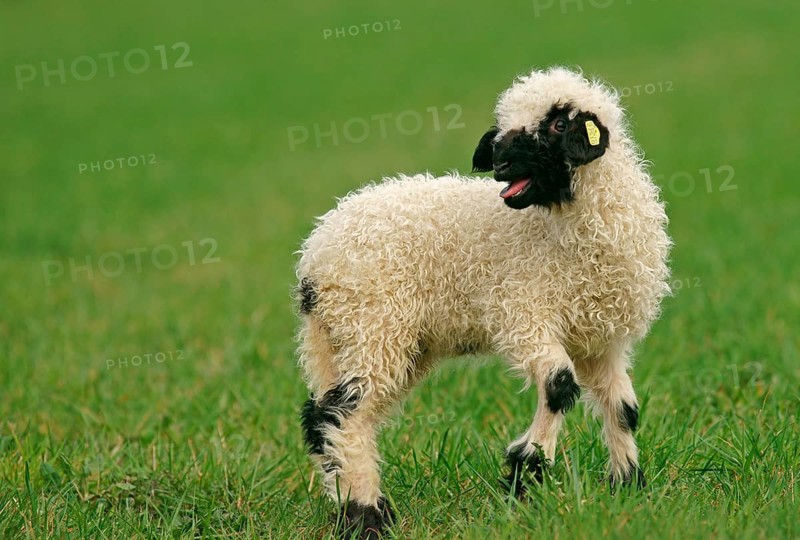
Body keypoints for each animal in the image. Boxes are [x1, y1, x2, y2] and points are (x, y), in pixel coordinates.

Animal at [295, 66, 671, 538]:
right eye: (503, 122)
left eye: (558, 123)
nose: (500, 163)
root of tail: (314, 256)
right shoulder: (523, 313)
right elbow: (559, 386)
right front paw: (525, 472)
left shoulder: (602, 341)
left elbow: (624, 410)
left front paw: (629, 488)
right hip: (374, 324)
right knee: (343, 414)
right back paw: (367, 517)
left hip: (354, 338)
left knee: (322, 415)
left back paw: (353, 508)